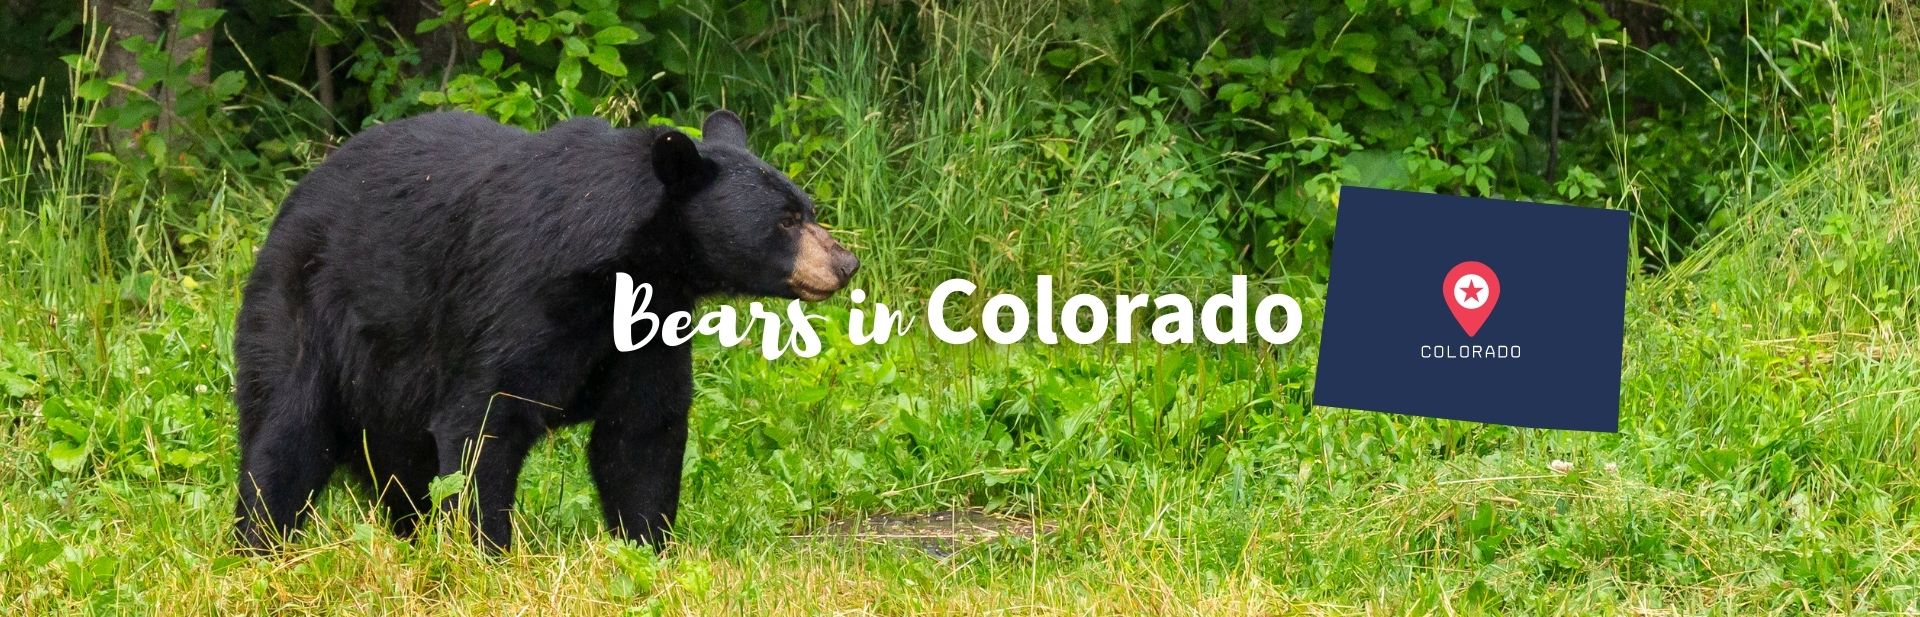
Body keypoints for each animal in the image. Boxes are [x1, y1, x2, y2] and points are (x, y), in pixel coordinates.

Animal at [231, 109, 858, 551]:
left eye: (806, 208)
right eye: (785, 221)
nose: (845, 263)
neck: (620, 262)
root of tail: (292, 199)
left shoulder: (648, 319)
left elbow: (642, 430)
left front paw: (648, 548)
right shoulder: (518, 301)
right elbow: (482, 423)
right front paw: (485, 556)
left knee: (399, 467)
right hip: (304, 311)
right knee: (287, 436)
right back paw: (261, 547)